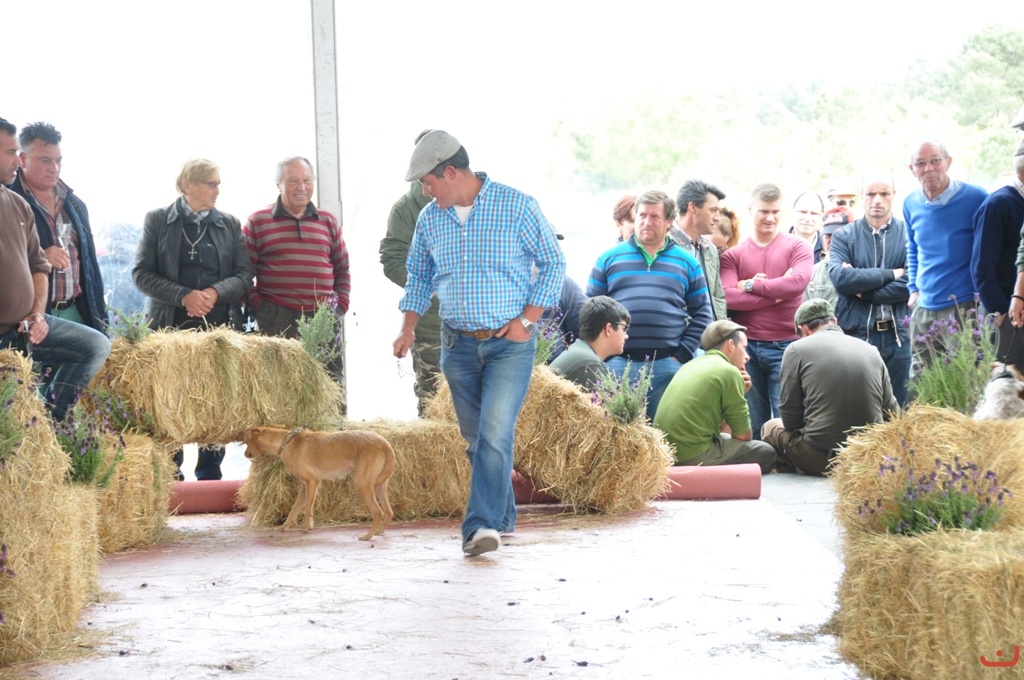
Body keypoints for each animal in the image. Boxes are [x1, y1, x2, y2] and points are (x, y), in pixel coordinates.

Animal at [242, 426, 396, 540]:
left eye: (246, 441)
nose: (245, 454)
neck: (286, 443)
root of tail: (383, 442)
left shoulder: (311, 482)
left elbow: (307, 509)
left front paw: (307, 528)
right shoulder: (304, 486)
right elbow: (294, 509)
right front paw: (283, 527)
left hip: (363, 484)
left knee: (378, 512)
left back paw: (367, 536)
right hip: (379, 485)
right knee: (388, 511)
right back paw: (379, 532)